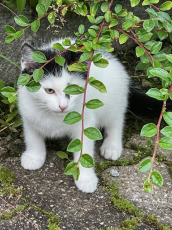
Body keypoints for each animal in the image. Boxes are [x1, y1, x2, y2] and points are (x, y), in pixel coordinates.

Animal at [18, 37, 163, 192]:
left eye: (73, 89)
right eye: (49, 90)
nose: (63, 106)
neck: (53, 116)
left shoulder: (85, 124)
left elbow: (84, 151)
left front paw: (86, 179)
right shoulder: (28, 113)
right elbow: (32, 137)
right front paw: (33, 157)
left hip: (113, 101)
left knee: (116, 121)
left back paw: (112, 146)